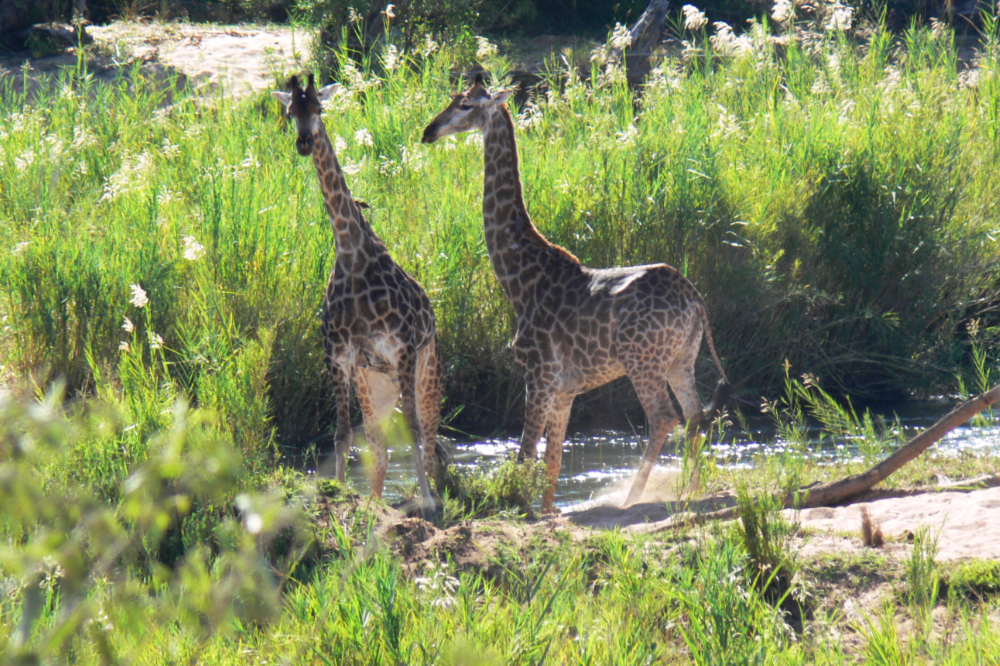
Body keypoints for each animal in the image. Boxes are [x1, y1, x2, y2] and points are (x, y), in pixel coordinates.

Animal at [273, 74, 444, 516]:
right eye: (290, 112)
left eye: (319, 109)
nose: (304, 142)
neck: (351, 252)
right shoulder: (338, 354)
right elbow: (342, 435)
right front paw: (336, 496)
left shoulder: (403, 348)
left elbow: (414, 430)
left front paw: (428, 502)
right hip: (376, 383)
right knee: (379, 445)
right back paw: (376, 502)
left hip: (426, 370)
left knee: (430, 432)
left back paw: (433, 495)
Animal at [422, 75, 731, 511]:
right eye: (452, 99)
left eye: (466, 105)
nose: (428, 131)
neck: (519, 281)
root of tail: (696, 301)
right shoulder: (565, 389)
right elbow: (552, 463)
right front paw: (546, 511)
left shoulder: (539, 376)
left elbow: (525, 454)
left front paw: (518, 506)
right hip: (680, 359)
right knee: (695, 414)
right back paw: (690, 491)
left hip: (642, 361)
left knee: (663, 417)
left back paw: (632, 499)